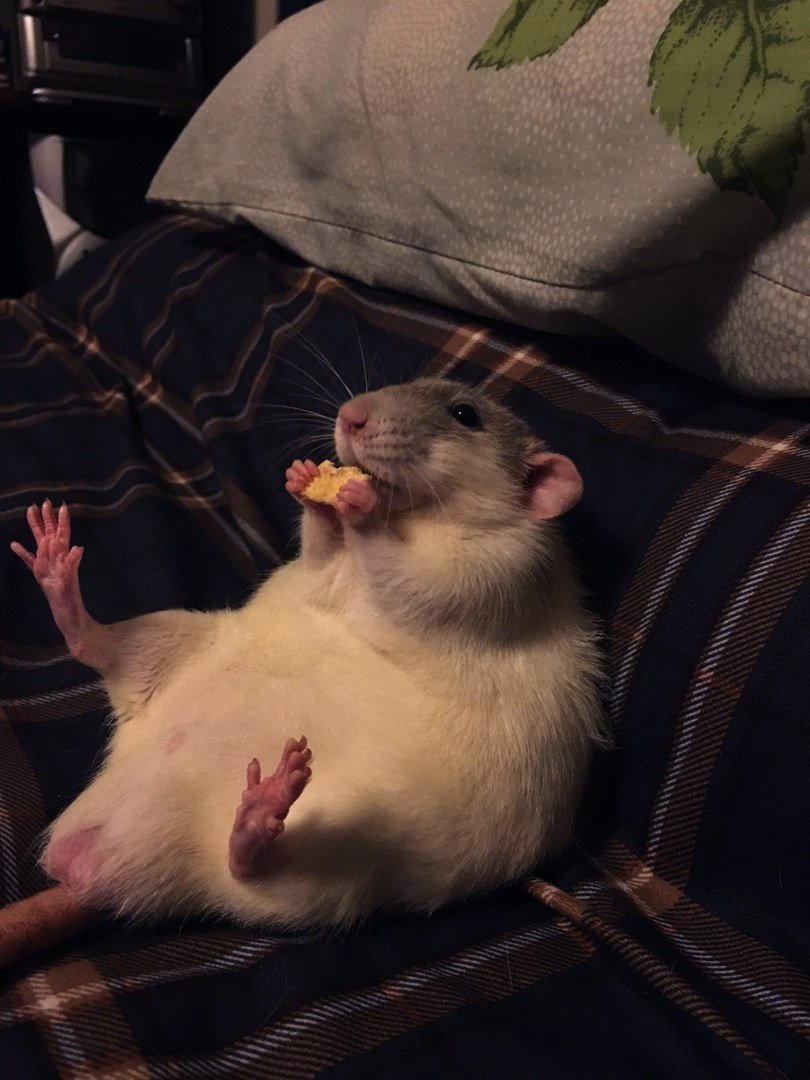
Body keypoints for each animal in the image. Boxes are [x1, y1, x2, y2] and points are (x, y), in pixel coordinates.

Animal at [3, 378, 603, 955]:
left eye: (465, 415)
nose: (351, 416)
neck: (416, 516)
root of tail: (96, 850)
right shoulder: (329, 576)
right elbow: (320, 564)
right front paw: (313, 494)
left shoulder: (503, 572)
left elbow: (414, 588)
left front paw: (360, 512)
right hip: (177, 638)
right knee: (102, 651)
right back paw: (64, 593)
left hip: (331, 871)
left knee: (256, 873)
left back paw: (257, 820)